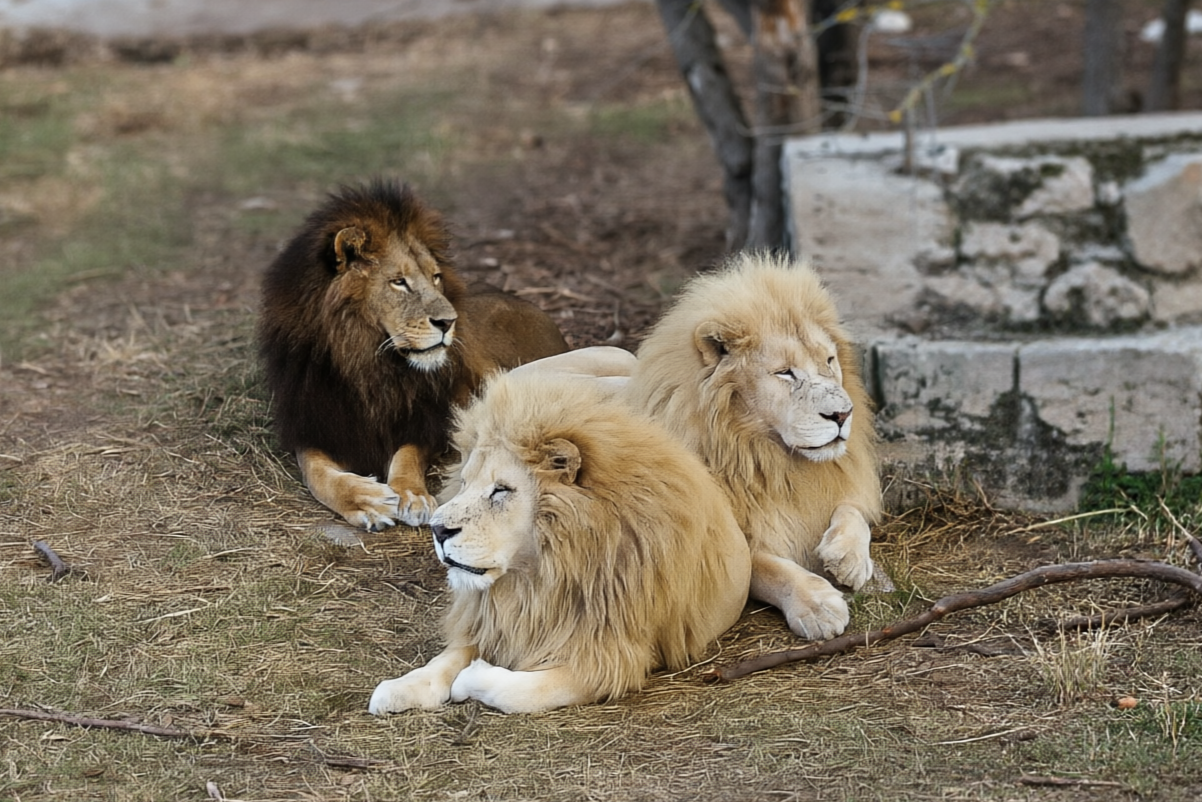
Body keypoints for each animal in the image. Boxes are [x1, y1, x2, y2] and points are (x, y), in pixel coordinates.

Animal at [257, 179, 568, 531]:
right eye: (399, 282)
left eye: (436, 277)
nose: (449, 322)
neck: (367, 362)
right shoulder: (313, 424)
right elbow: (317, 474)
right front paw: (365, 501)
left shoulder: (428, 419)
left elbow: (408, 455)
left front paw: (412, 495)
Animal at [368, 370, 752, 714]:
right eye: (464, 483)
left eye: (501, 490)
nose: (438, 530)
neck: (539, 578)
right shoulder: (497, 620)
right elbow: (447, 657)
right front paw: (400, 688)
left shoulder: (611, 652)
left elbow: (519, 693)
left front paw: (470, 679)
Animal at [625, 252, 881, 641]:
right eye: (785, 372)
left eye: (829, 360)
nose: (842, 414)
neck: (768, 457)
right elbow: (768, 568)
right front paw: (819, 606)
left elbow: (853, 511)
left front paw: (848, 559)